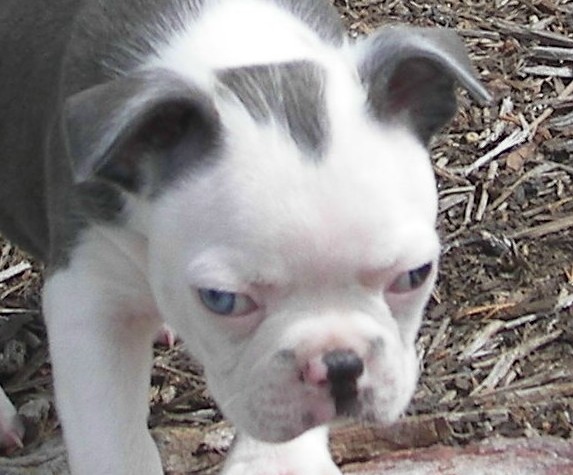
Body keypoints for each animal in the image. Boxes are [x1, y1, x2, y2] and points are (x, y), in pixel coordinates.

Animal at [0, 0, 490, 472]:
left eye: (415, 275)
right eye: (222, 301)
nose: (338, 366)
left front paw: (280, 465)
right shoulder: (89, 298)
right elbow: (112, 442)